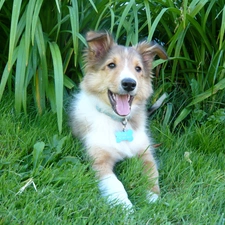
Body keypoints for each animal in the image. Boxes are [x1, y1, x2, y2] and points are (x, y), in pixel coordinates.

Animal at [69, 31, 168, 209]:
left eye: (138, 68)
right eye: (111, 65)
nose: (129, 83)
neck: (119, 123)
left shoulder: (145, 153)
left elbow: (152, 174)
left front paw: (152, 198)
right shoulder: (98, 159)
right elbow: (114, 183)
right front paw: (124, 206)